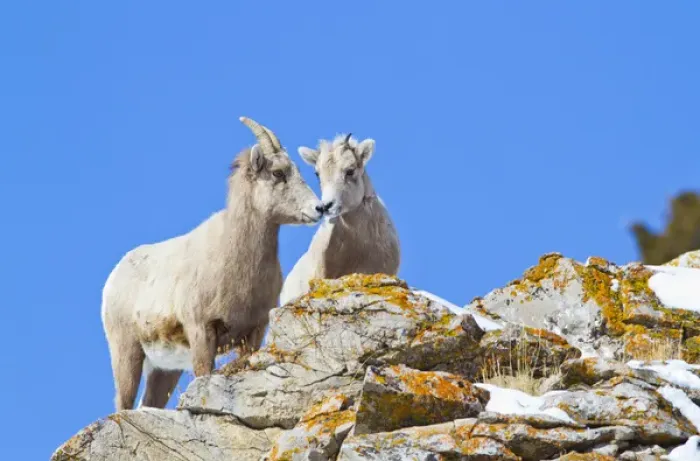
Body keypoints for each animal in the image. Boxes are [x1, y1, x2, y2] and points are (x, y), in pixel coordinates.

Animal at [101, 117, 323, 411]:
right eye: (277, 173)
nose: (319, 208)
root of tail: (114, 278)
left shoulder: (253, 332)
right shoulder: (202, 331)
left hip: (165, 370)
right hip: (127, 353)